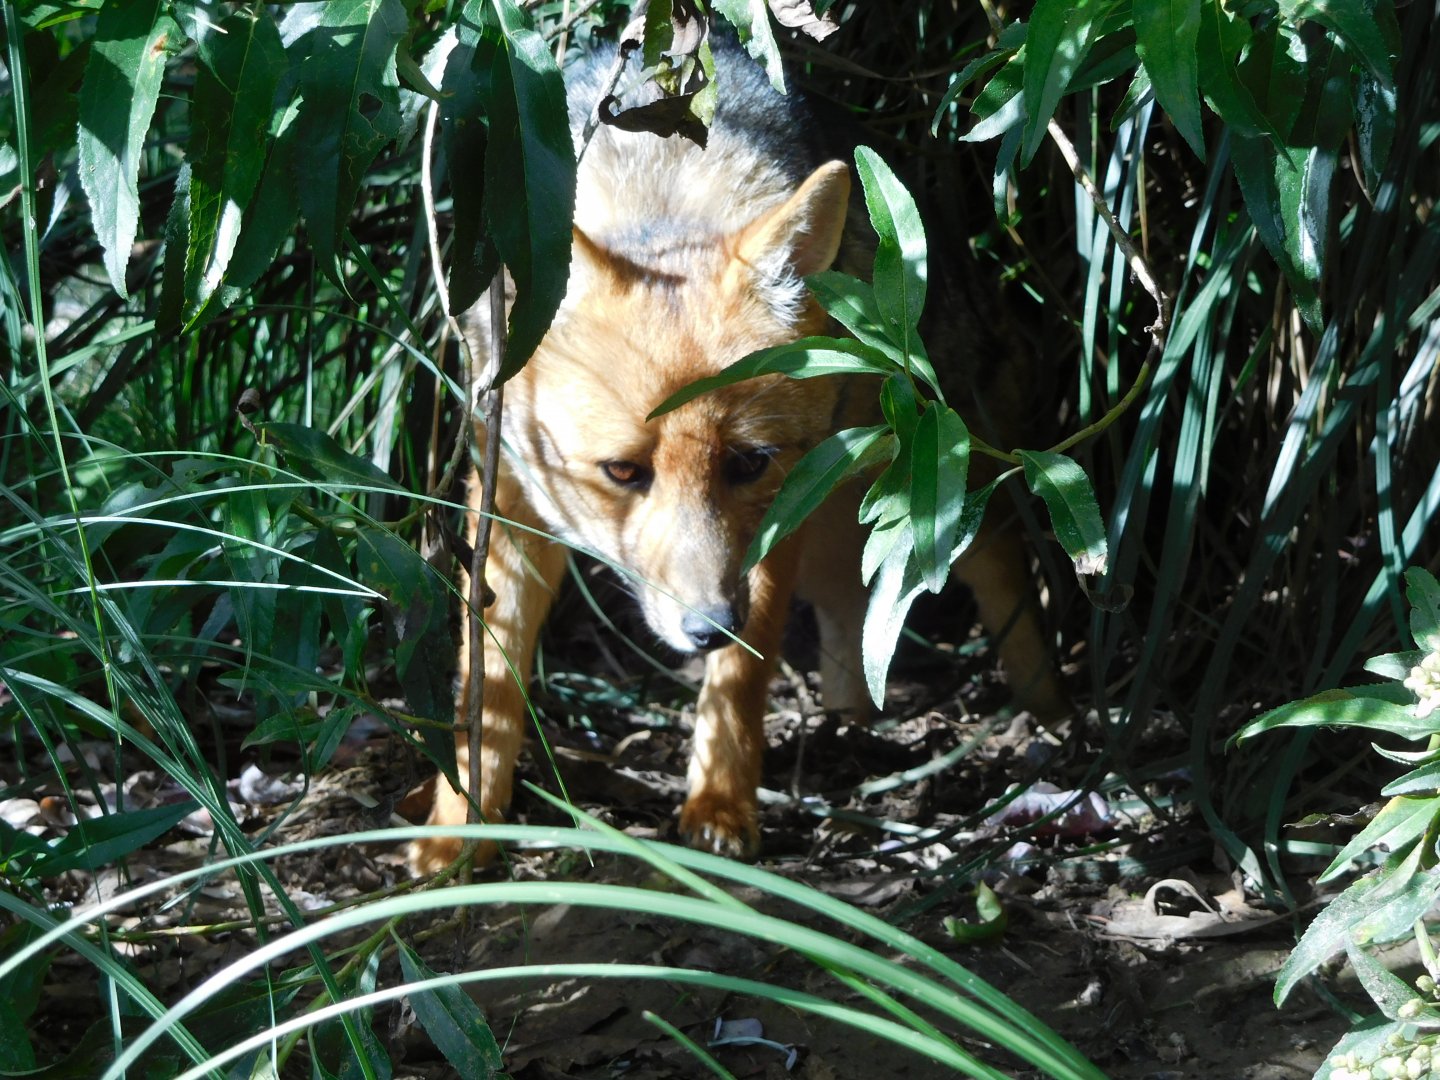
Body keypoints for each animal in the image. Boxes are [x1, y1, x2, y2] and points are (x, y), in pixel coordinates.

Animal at [408, 40, 1067, 875]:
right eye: (622, 472)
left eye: (748, 464)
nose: (709, 626)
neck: (662, 181)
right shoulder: (509, 497)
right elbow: (485, 685)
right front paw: (459, 830)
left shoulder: (780, 515)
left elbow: (739, 680)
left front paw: (719, 807)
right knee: (849, 633)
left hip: (954, 513)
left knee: (1009, 596)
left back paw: (1056, 729)